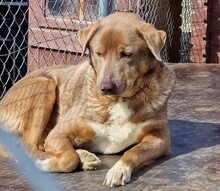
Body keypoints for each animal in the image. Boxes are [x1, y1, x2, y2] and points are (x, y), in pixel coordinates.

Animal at [0, 12, 175, 187]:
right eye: (99, 53)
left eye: (127, 54)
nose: (105, 87)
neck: (117, 100)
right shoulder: (58, 133)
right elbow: (69, 159)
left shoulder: (160, 138)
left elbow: (134, 152)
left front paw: (119, 170)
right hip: (44, 85)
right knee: (28, 147)